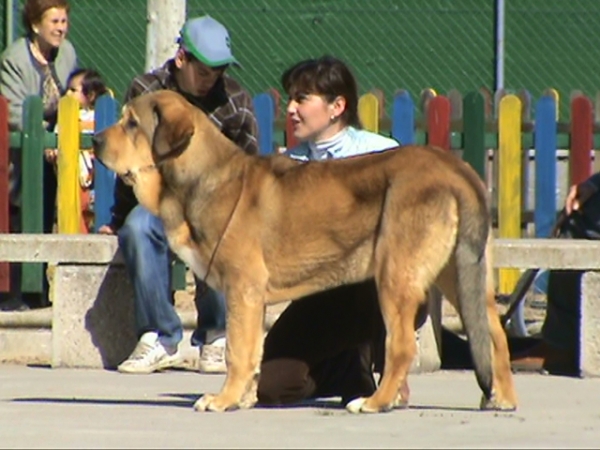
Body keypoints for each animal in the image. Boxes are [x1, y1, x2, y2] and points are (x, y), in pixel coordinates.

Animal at [91, 89, 516, 414]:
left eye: (132, 123)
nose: (94, 140)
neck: (197, 178)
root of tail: (456, 169)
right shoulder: (250, 299)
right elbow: (251, 351)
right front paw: (243, 399)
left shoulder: (243, 289)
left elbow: (236, 353)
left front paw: (223, 400)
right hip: (461, 276)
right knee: (494, 335)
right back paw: (502, 399)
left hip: (395, 279)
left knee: (401, 348)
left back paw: (375, 402)